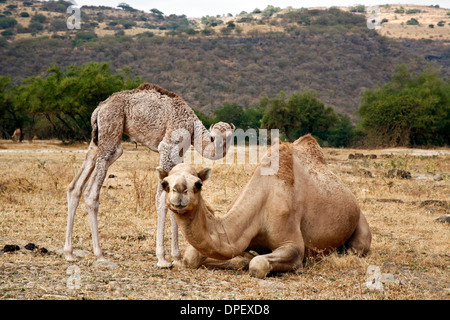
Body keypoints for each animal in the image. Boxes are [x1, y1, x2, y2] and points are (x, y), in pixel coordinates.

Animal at [65, 82, 237, 264]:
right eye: (213, 137)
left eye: (230, 136)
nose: (220, 146)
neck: (192, 129)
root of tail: (100, 108)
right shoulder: (168, 146)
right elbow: (162, 199)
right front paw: (162, 258)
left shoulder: (178, 154)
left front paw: (177, 257)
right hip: (111, 132)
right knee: (92, 192)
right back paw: (100, 254)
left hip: (96, 140)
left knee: (75, 186)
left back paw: (69, 253)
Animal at [156, 134, 370, 278]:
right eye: (164, 183)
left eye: (198, 184)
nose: (179, 191)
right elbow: (191, 257)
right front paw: (243, 257)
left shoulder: (292, 243)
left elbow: (258, 264)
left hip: (360, 227)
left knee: (357, 248)